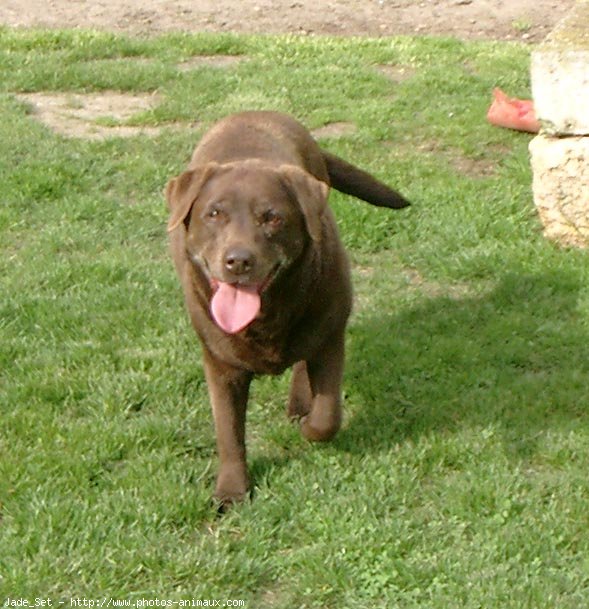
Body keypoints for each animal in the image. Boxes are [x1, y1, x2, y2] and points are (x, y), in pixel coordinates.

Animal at [163, 109, 406, 504]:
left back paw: (299, 403)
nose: (238, 260)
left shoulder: (330, 334)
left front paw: (309, 426)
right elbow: (229, 432)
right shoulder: (220, 364)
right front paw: (231, 491)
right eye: (214, 214)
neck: (266, 317)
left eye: (272, 217)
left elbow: (327, 416)